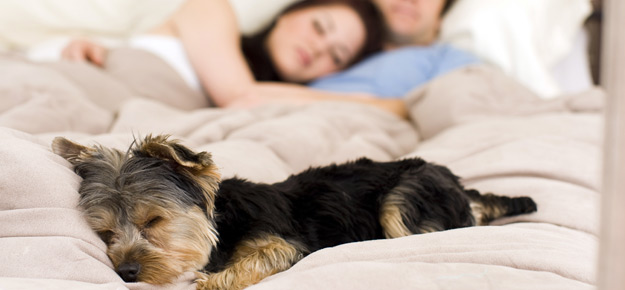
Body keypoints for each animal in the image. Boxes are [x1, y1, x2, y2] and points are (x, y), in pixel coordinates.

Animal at [52, 135, 536, 288]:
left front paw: (210, 280)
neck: (221, 225)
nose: (127, 272)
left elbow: (257, 259)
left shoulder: (283, 242)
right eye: (106, 234)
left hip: (407, 195)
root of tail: (459, 183)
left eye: (153, 221)